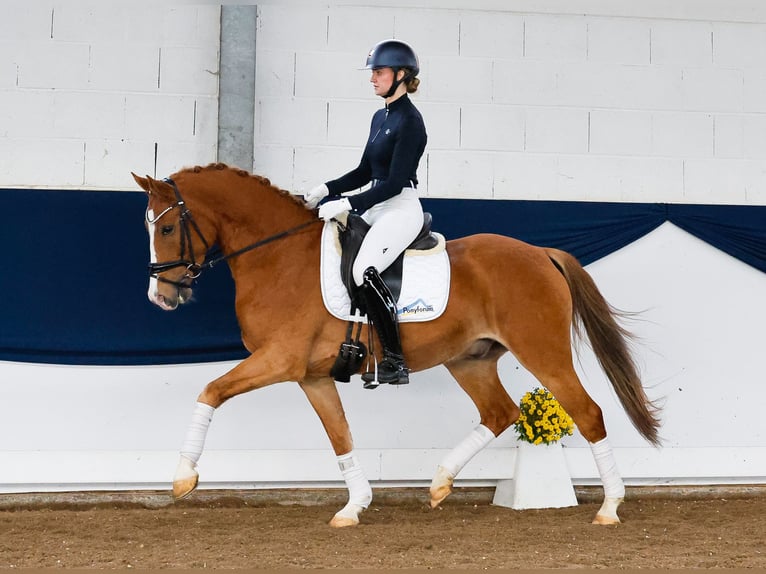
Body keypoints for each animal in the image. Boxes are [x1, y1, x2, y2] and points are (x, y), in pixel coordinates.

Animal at [130, 164, 660, 528]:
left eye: (168, 228)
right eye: (150, 227)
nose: (161, 297)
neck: (278, 256)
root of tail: (541, 253)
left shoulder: (278, 360)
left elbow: (210, 391)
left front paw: (182, 478)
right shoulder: (311, 375)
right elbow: (340, 437)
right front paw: (354, 506)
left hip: (542, 352)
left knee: (588, 414)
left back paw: (610, 508)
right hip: (469, 360)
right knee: (500, 413)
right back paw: (440, 484)